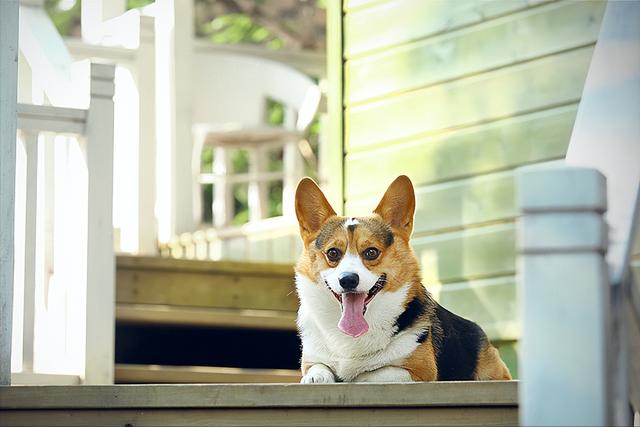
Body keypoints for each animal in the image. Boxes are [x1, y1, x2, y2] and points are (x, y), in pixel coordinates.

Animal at [294, 176, 510, 382]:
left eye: (371, 252)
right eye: (332, 253)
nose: (348, 280)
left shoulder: (419, 372)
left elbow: (368, 374)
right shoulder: (312, 361)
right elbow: (317, 369)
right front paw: (316, 377)